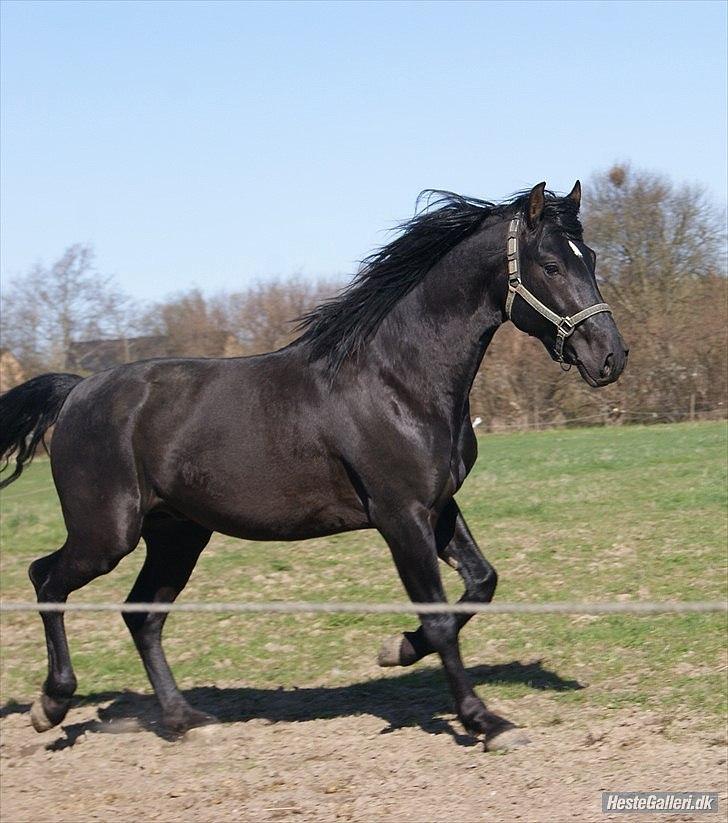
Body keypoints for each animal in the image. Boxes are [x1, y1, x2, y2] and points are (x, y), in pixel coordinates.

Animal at [0, 183, 624, 748]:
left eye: (589, 258)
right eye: (550, 264)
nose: (610, 357)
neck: (398, 379)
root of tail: (77, 392)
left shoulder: (438, 507)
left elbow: (481, 583)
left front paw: (396, 649)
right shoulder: (400, 516)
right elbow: (442, 618)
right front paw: (485, 722)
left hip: (178, 534)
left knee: (141, 615)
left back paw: (184, 720)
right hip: (107, 533)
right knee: (45, 578)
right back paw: (51, 706)